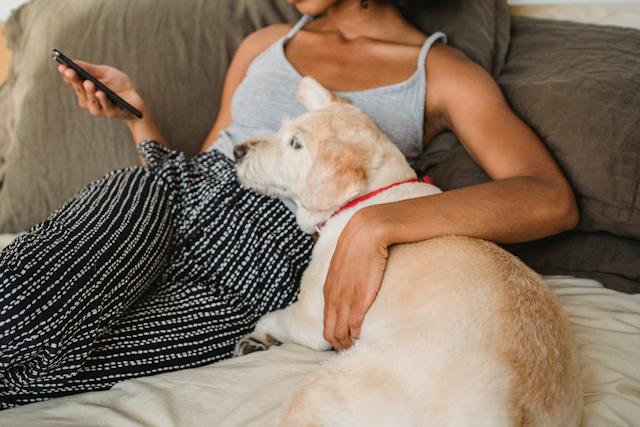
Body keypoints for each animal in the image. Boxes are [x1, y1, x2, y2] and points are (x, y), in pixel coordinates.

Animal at [232, 77, 584, 427]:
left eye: (296, 144)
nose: (237, 150)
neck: (370, 194)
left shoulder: (311, 317)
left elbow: (272, 317)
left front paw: (258, 336)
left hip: (322, 388)